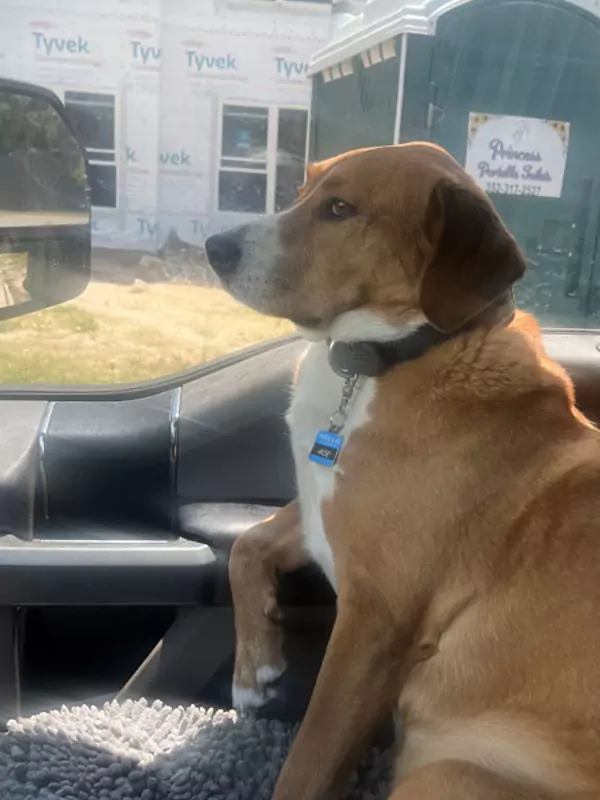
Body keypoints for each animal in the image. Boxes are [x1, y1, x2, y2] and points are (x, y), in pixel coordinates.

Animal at [207, 145, 600, 800]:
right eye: (303, 189)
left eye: (341, 209)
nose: (214, 247)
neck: (379, 364)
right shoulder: (324, 516)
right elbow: (248, 543)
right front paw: (253, 666)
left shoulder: (375, 621)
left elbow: (309, 759)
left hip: (445, 777)